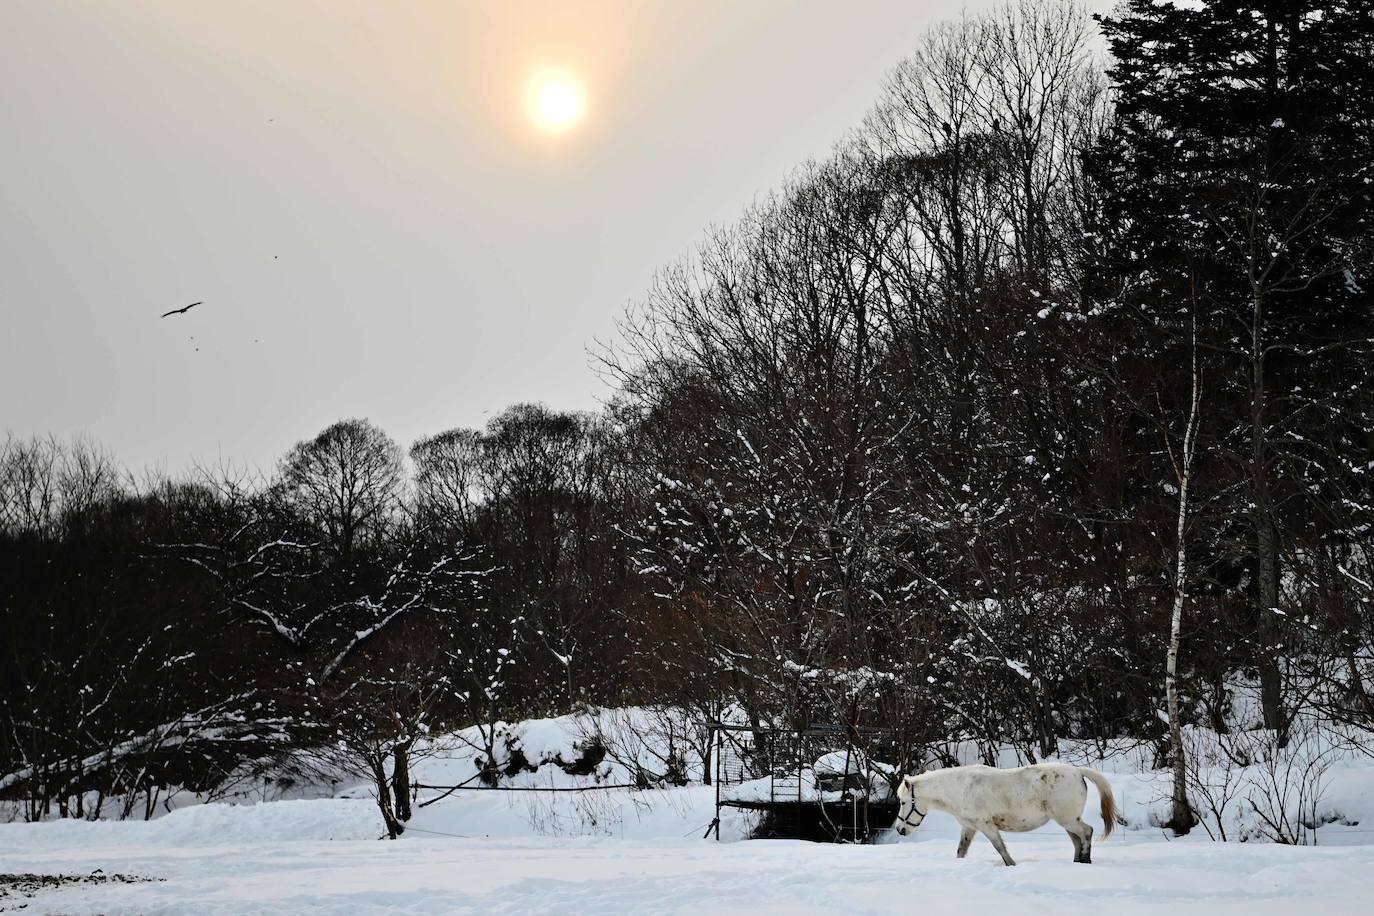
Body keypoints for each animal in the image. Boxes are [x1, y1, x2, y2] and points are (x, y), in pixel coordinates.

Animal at [890, 769, 1115, 867]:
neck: (961, 788)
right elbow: (961, 851)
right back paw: (1077, 862)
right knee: (1077, 839)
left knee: (1087, 832)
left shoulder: (987, 826)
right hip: (1068, 820)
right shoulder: (969, 827)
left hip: (1067, 819)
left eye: (903, 802)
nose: (900, 830)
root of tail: (1077, 771)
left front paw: (1012, 865)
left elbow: (1001, 849)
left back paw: (1085, 861)